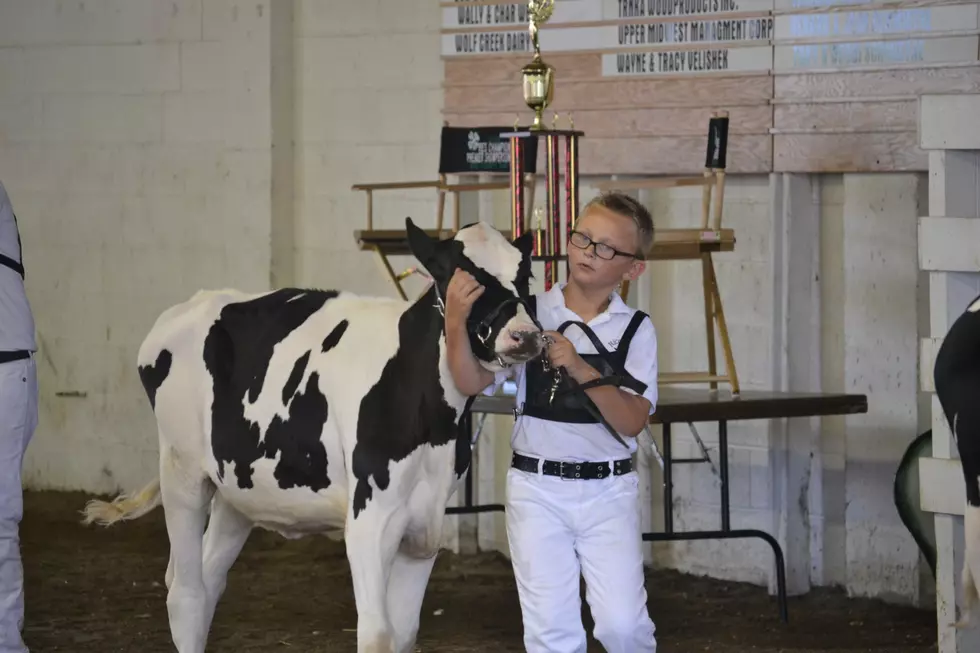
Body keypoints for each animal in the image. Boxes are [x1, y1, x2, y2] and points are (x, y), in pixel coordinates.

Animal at [82, 220, 544, 652]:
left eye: (525, 275)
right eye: (460, 273)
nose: (525, 335)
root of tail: (190, 306)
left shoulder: (424, 527)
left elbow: (404, 634)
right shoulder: (368, 521)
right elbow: (377, 635)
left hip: (238, 489)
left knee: (209, 579)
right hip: (182, 472)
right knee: (186, 594)